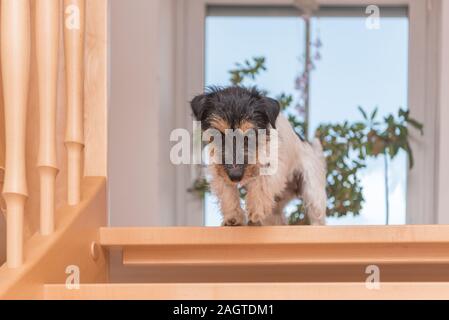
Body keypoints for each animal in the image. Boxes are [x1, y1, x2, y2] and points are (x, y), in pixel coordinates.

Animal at [190, 86, 326, 226]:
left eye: (250, 135)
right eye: (218, 135)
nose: (235, 176)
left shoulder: (273, 165)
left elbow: (261, 183)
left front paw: (255, 208)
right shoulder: (218, 170)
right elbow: (227, 191)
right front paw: (233, 216)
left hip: (313, 190)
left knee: (317, 216)